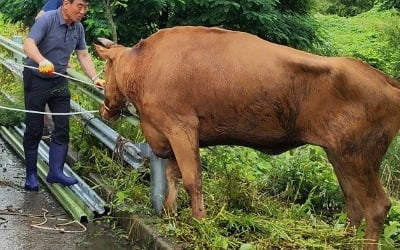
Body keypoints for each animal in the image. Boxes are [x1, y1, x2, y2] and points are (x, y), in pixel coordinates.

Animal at [94, 25, 400, 248]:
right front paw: (170, 214)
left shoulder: (181, 128)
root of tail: (385, 80)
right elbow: (173, 175)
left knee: (376, 206)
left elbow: (193, 180)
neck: (145, 64)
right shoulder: (168, 136)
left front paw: (200, 224)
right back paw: (341, 240)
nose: (104, 108)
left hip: (359, 157)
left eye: (106, 68)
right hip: (341, 156)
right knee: (353, 202)